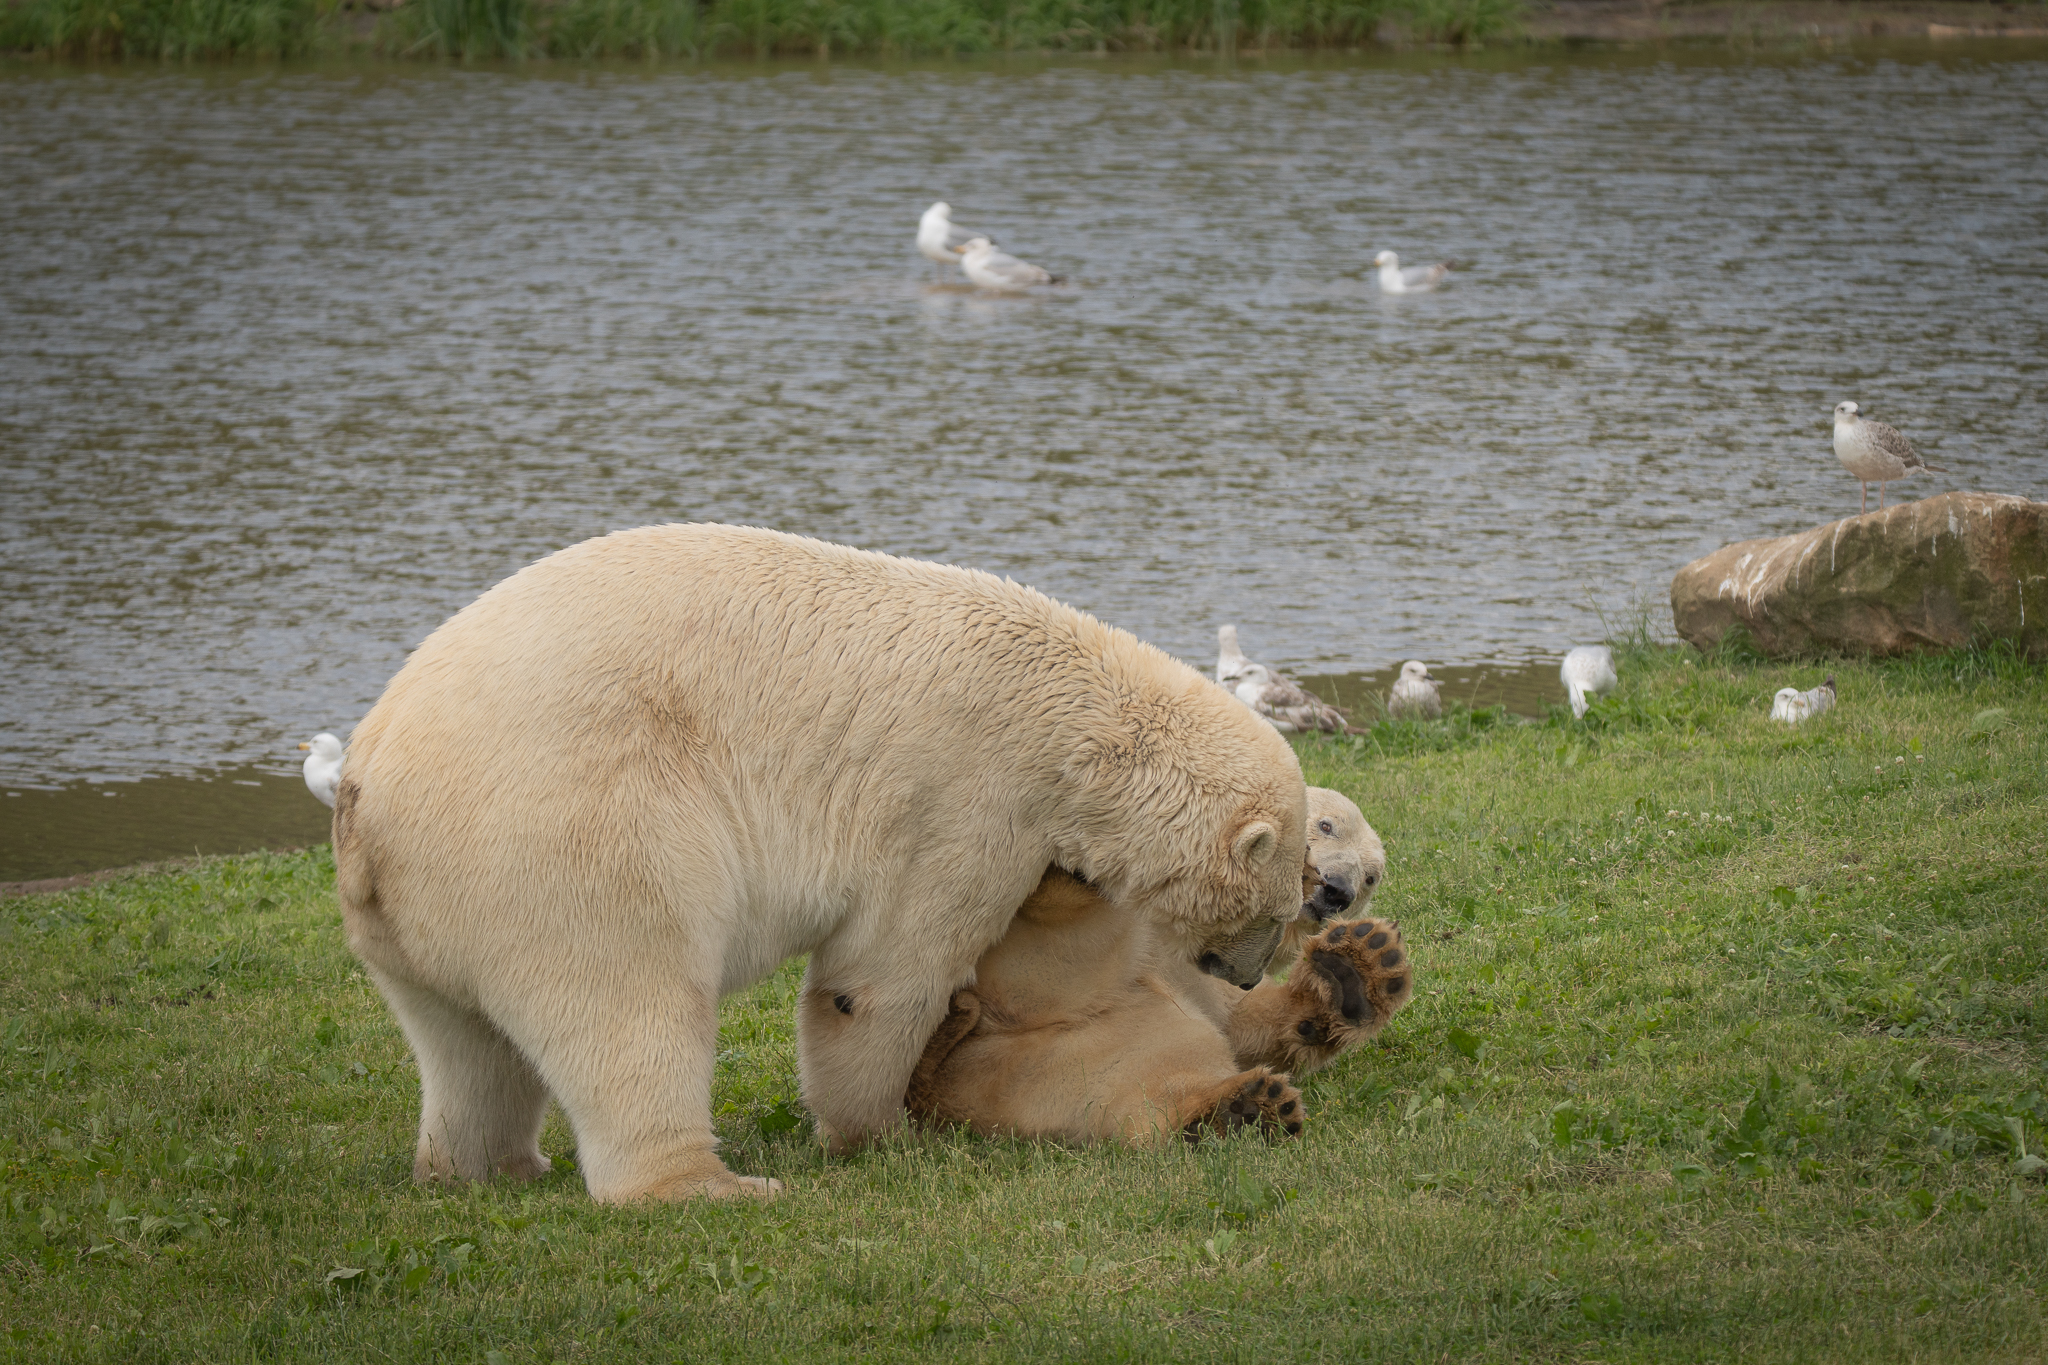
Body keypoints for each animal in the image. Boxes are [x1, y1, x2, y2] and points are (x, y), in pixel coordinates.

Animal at [331, 524, 1308, 1202]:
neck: (1083, 717)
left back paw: (486, 1166)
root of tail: (366, 779)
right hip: (563, 830)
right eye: (1285, 906)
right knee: (627, 996)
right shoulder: (970, 795)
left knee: (465, 1040)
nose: (1248, 972)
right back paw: (707, 1183)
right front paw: (879, 1132)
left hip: (429, 897)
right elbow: (879, 975)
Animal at [904, 787, 1412, 1144]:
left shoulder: (1213, 969)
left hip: (1064, 1051)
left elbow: (1245, 1021)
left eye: (1371, 877)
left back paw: (1240, 1110)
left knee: (1150, 1069)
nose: (1337, 890)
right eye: (1326, 825)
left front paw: (1354, 968)